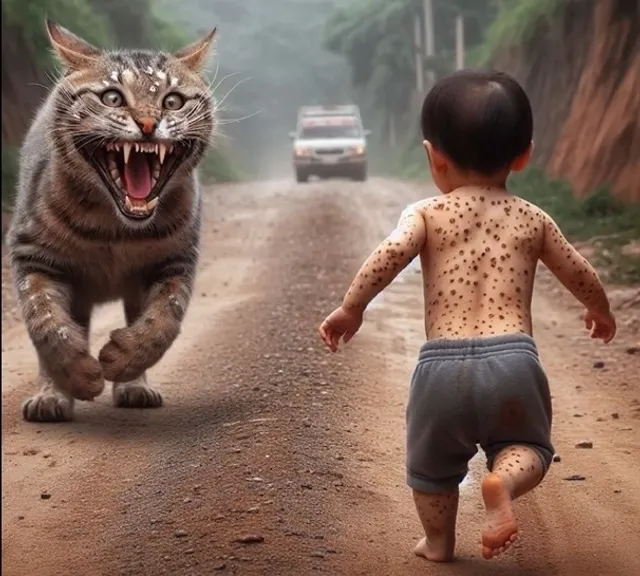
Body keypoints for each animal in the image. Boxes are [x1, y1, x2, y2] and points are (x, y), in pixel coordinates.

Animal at [6, 20, 219, 420]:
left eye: (172, 101)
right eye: (112, 98)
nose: (149, 124)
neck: (116, 229)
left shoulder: (176, 262)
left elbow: (163, 321)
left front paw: (123, 363)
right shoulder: (32, 256)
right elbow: (45, 323)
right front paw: (77, 377)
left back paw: (135, 387)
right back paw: (50, 396)